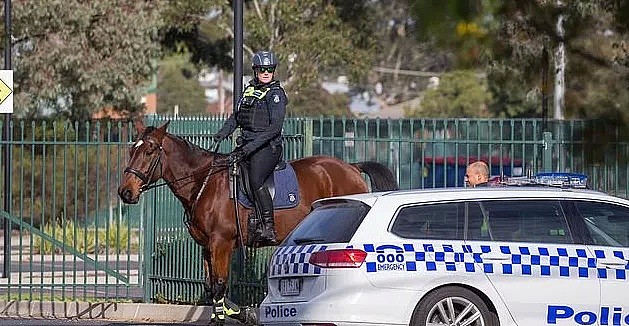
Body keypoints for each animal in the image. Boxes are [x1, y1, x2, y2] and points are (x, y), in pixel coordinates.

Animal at [116, 119, 398, 324]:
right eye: (131, 150)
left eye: (149, 150)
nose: (125, 192)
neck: (204, 183)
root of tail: (350, 167)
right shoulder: (206, 247)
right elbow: (210, 288)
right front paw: (238, 313)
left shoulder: (221, 244)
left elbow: (219, 287)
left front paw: (232, 316)